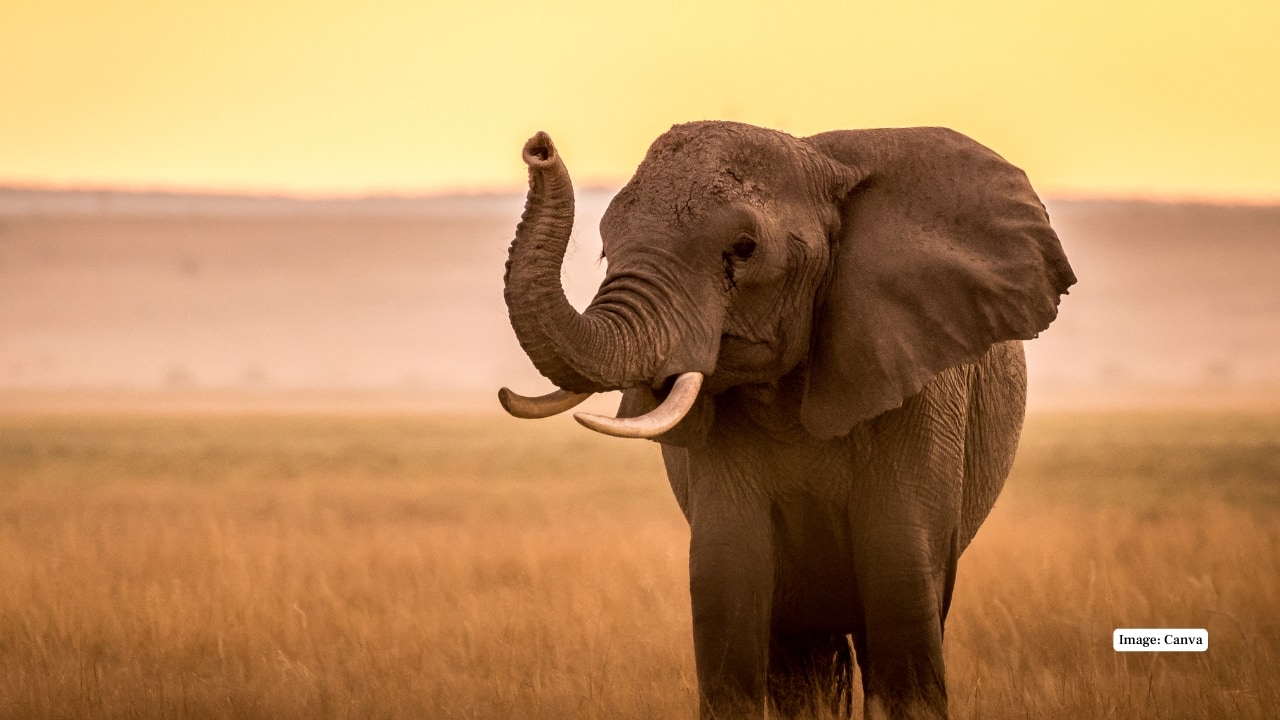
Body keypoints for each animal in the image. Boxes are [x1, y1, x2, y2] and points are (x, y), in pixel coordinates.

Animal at [497, 121, 1074, 719]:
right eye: (606, 250)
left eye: (744, 250)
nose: (539, 146)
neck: (825, 166)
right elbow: (726, 571)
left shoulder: (921, 379)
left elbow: (898, 570)